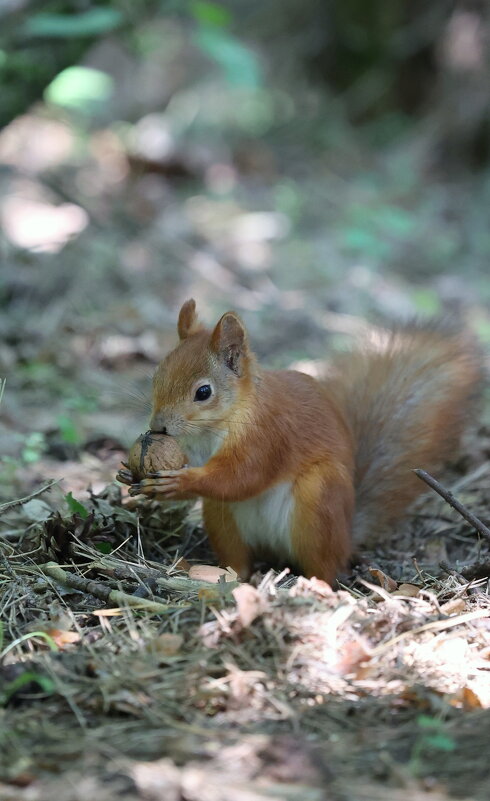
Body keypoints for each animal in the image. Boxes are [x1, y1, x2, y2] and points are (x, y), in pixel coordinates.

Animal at [121, 298, 482, 580]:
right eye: (157, 376)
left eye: (203, 392)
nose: (158, 427)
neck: (217, 426)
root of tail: (347, 536)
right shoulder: (196, 451)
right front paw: (130, 474)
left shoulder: (269, 436)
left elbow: (242, 476)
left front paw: (179, 482)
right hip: (223, 520)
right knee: (240, 561)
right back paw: (221, 574)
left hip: (319, 500)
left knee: (325, 567)